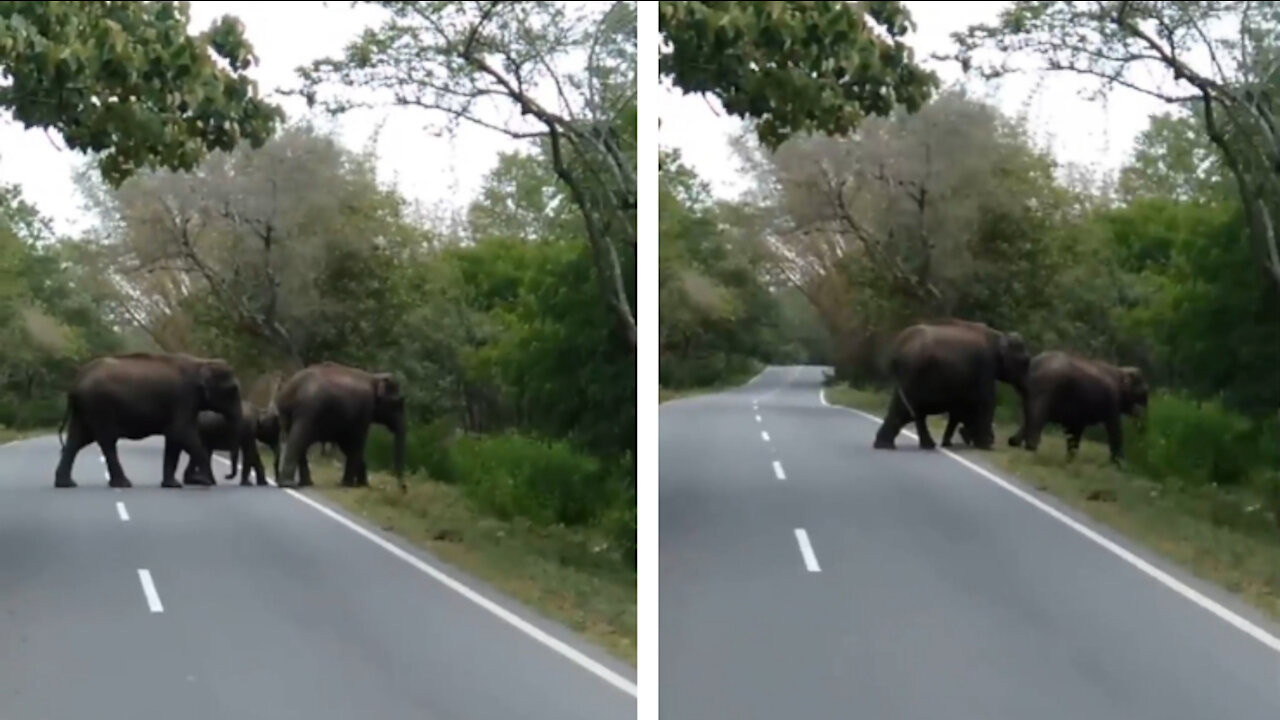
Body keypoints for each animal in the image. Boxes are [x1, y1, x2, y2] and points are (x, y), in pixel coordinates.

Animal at [53, 351, 241, 486]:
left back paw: (66, 484)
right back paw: (123, 484)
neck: (201, 362)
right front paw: (207, 482)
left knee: (77, 440)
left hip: (86, 409)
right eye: (233, 390)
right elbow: (181, 433)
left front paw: (173, 485)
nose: (227, 476)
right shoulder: (183, 398)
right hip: (99, 407)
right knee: (106, 441)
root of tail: (76, 382)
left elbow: (174, 438)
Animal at [273, 361, 404, 489]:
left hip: (288, 415)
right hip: (307, 412)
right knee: (298, 441)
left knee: (297, 442)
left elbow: (347, 445)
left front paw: (362, 485)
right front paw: (349, 485)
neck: (375, 377)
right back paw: (289, 484)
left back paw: (305, 483)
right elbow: (356, 443)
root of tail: (290, 386)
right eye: (398, 403)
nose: (403, 488)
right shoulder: (364, 410)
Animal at [870, 317, 1029, 448]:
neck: (998, 335)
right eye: (1025, 361)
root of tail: (897, 347)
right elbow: (987, 400)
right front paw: (985, 445)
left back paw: (886, 445)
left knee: (904, 409)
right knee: (912, 411)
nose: (1010, 441)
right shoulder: (985, 366)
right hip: (914, 374)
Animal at [1008, 351, 1152, 461]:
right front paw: (1120, 465)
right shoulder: (1112, 400)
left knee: (1027, 417)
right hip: (1045, 390)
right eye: (1143, 393)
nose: (1142, 429)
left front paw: (1070, 459)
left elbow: (1075, 430)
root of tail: (1033, 365)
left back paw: (1014, 442)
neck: (1120, 370)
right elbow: (1114, 428)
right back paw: (1030, 448)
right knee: (1037, 418)